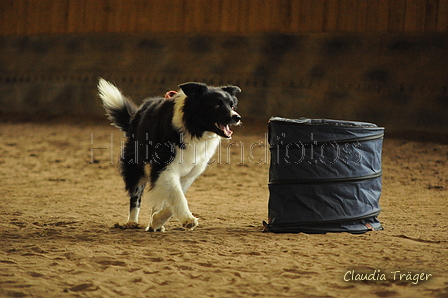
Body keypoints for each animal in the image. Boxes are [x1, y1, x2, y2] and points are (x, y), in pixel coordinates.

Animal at [98, 79, 242, 233]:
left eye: (232, 105)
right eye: (217, 105)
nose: (237, 117)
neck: (192, 128)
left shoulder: (188, 174)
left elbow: (174, 197)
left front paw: (156, 221)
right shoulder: (163, 167)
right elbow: (177, 196)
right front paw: (188, 219)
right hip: (136, 165)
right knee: (136, 195)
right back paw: (132, 222)